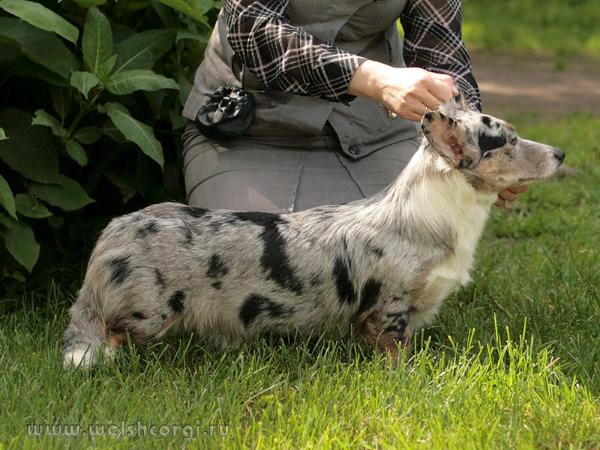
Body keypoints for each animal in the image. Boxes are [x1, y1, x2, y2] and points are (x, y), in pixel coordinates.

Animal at [63, 97, 564, 366]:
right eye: (510, 141)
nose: (560, 153)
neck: (434, 216)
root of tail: (109, 237)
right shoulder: (391, 308)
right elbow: (395, 350)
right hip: (149, 313)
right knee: (113, 333)